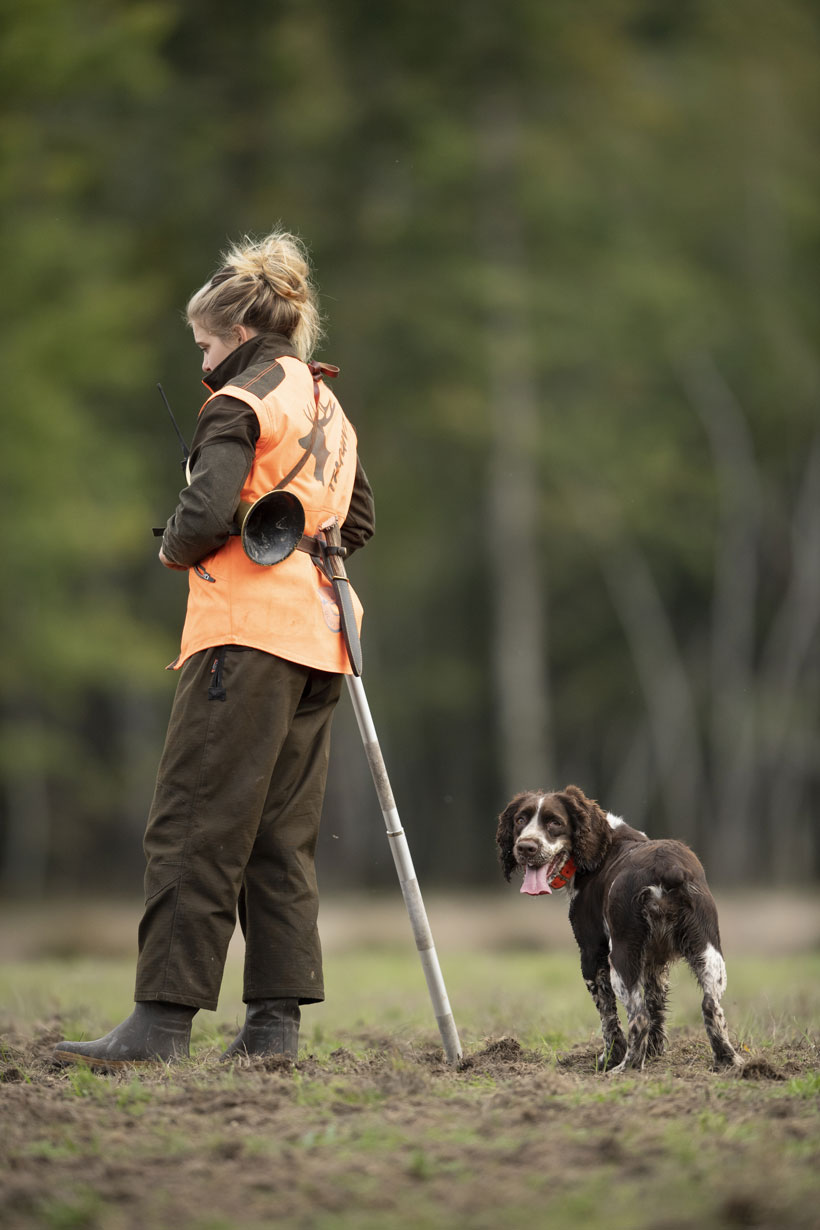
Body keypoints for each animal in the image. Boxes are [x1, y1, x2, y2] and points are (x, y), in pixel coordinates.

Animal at [494, 787, 742, 1067]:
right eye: (520, 820)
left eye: (555, 822)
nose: (526, 847)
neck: (601, 847)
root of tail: (668, 868)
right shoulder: (655, 962)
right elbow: (656, 1006)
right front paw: (654, 1052)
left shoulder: (592, 954)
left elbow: (608, 1016)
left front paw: (610, 1057)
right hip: (708, 952)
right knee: (710, 1006)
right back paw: (728, 1060)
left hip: (623, 956)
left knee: (639, 1016)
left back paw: (626, 1067)